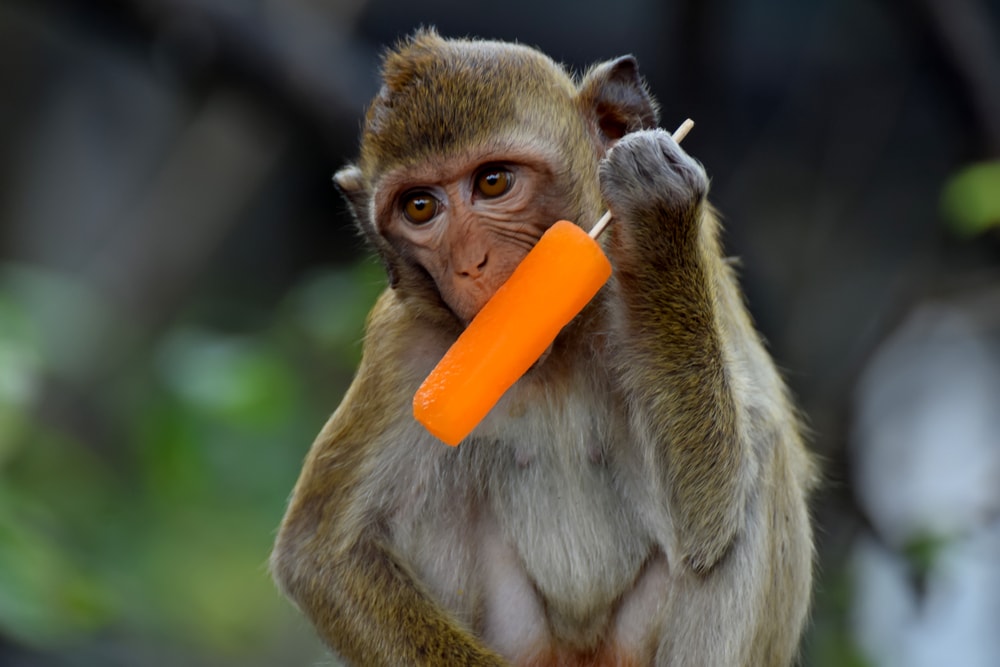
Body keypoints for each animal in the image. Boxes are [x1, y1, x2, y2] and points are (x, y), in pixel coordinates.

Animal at [270, 28, 816, 667]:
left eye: (493, 182)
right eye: (419, 207)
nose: (470, 263)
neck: (554, 350)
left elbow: (710, 520)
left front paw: (657, 209)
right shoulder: (406, 352)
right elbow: (323, 553)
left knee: (761, 456)